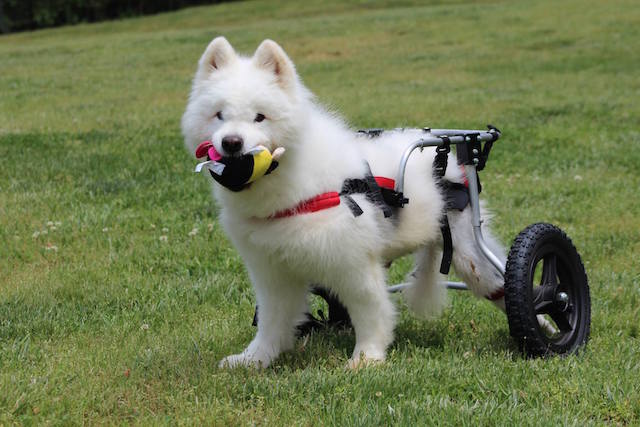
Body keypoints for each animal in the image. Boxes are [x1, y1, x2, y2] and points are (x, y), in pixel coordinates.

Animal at [181, 38, 510, 370]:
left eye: (260, 117)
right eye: (219, 115)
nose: (231, 143)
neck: (294, 186)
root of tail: (446, 149)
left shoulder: (354, 263)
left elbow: (371, 311)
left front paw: (366, 358)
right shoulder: (272, 270)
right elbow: (272, 321)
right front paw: (254, 359)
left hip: (468, 251)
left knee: (501, 283)